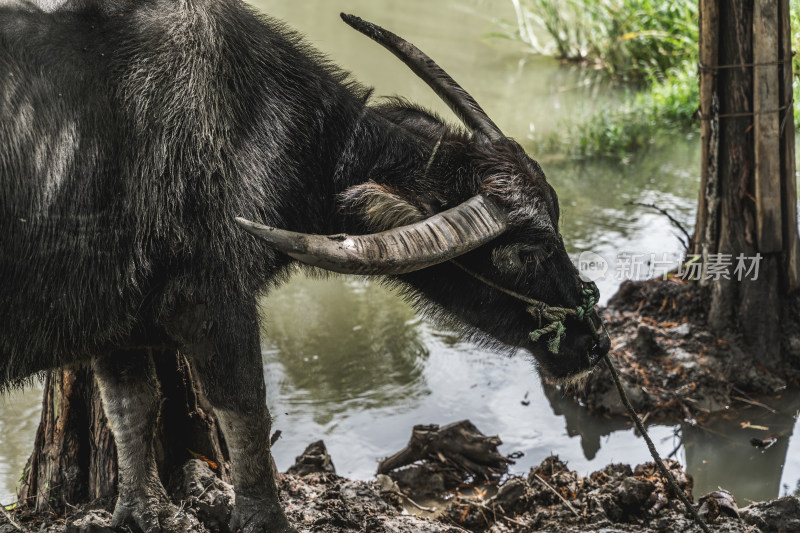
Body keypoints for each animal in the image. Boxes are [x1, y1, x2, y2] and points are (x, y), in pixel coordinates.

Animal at [1, 1, 608, 532]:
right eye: (526, 251)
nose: (593, 341)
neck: (257, 126)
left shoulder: (113, 322)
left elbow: (130, 407)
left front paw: (142, 513)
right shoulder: (211, 301)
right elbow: (246, 412)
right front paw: (263, 519)